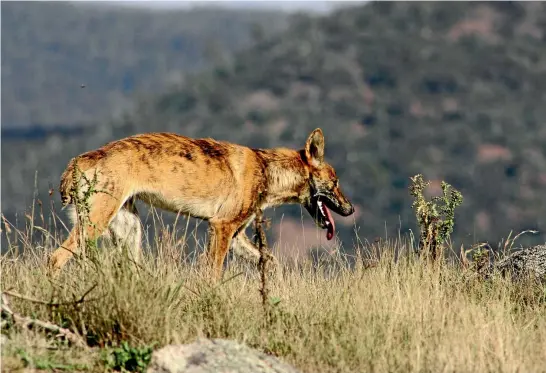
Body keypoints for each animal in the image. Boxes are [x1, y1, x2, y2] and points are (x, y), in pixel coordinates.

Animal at [49, 128, 354, 280]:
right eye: (336, 181)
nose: (350, 210)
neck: (267, 170)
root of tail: (80, 160)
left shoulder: (235, 236)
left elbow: (271, 262)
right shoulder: (222, 228)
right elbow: (214, 275)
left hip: (130, 232)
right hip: (94, 227)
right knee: (55, 258)